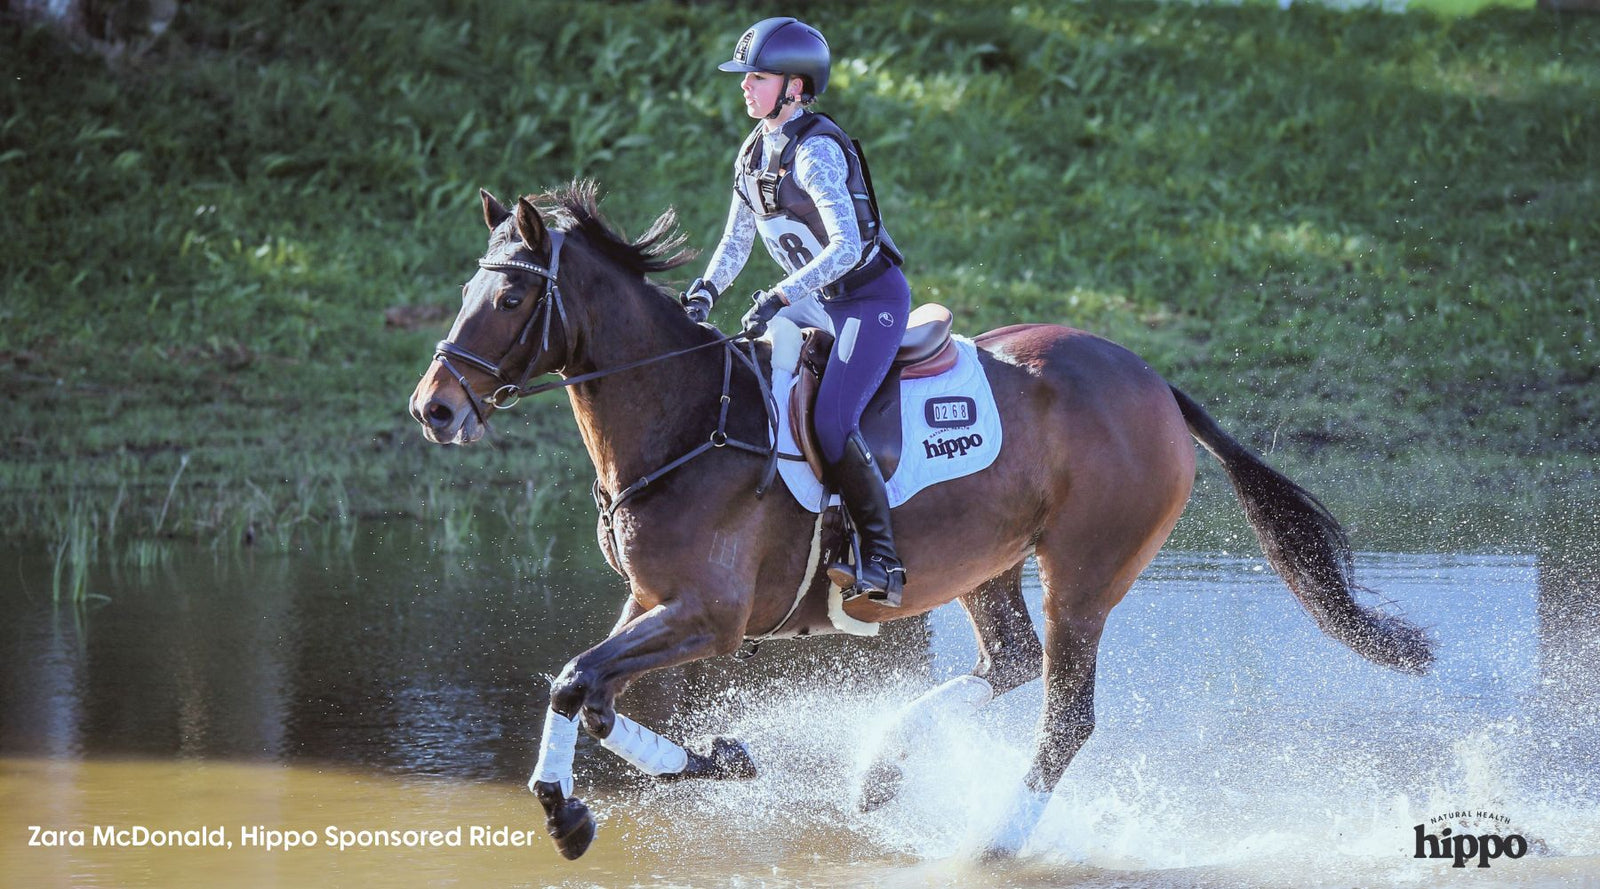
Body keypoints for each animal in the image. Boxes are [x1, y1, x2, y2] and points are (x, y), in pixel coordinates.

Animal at [408, 181, 1433, 861]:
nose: (434, 408)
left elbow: (574, 682)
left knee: (1066, 714)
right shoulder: (653, 604)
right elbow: (590, 691)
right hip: (988, 563)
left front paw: (566, 813)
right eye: (464, 291)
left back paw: (993, 841)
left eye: (510, 296)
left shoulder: (709, 615)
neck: (688, 414)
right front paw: (719, 759)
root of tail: (1150, 379)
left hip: (1084, 573)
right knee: (1010, 662)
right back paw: (882, 768)